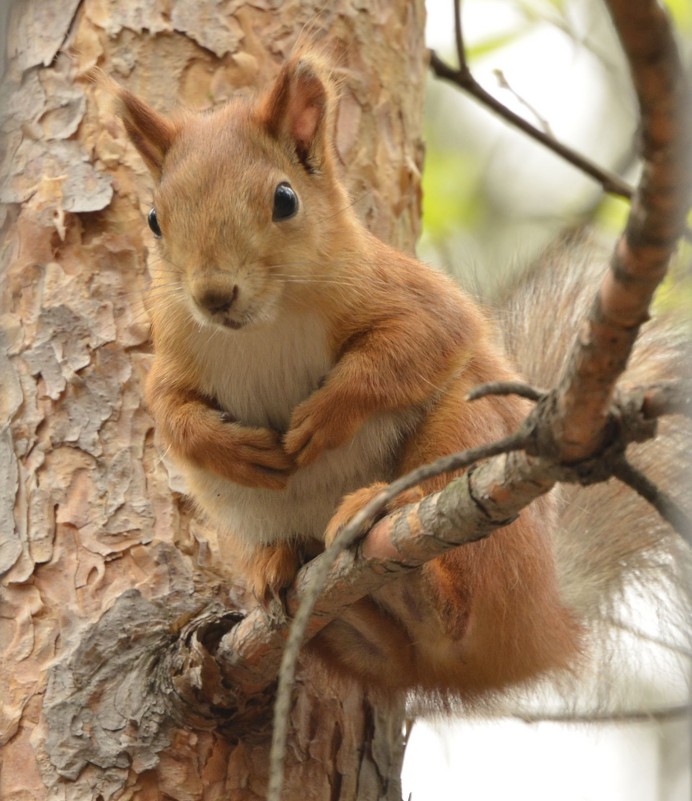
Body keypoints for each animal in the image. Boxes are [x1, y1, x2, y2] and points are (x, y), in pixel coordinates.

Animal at [115, 51, 688, 700]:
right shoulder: (173, 353)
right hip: (253, 526)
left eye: (285, 199)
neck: (263, 324)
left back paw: (386, 528)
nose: (214, 296)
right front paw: (231, 447)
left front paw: (324, 416)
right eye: (154, 219)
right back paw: (285, 572)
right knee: (389, 647)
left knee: (457, 598)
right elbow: (171, 413)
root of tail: (541, 627)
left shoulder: (406, 292)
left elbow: (413, 346)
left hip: (466, 435)